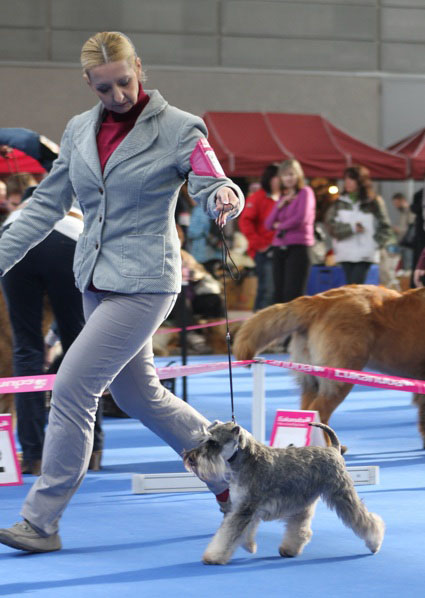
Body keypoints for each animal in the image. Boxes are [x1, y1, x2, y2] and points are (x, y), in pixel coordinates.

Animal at [183, 420, 384, 565]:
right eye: (204, 439)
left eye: (213, 442)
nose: (190, 458)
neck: (246, 459)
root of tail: (334, 449)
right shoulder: (244, 507)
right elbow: (244, 530)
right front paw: (249, 546)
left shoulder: (246, 508)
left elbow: (228, 534)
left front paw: (213, 557)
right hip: (303, 500)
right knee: (300, 527)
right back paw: (289, 549)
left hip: (341, 494)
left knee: (365, 519)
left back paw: (375, 542)